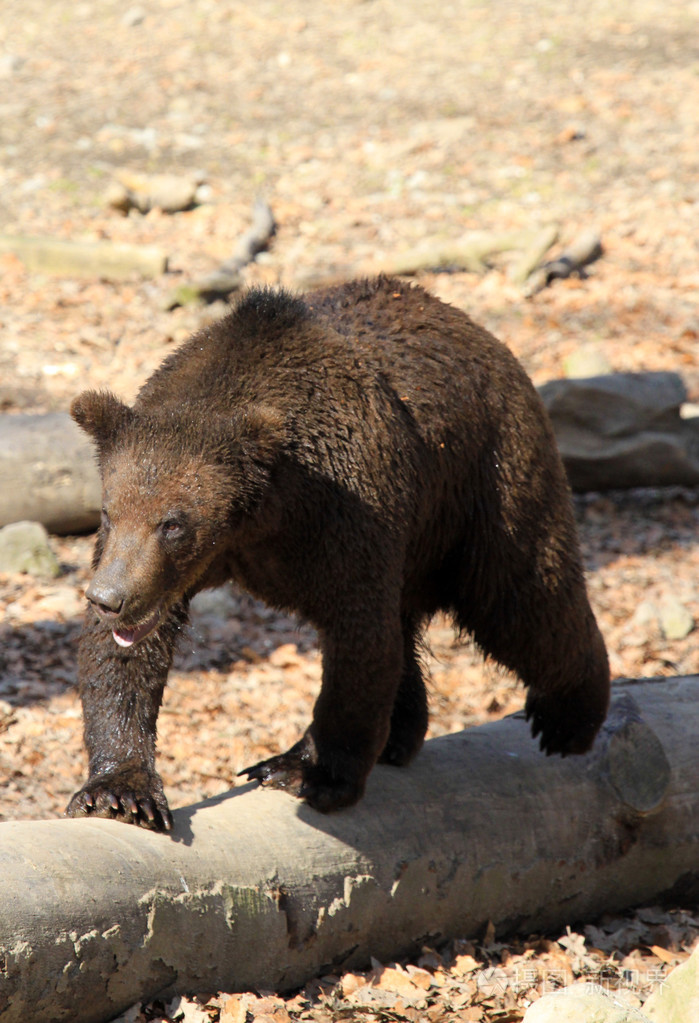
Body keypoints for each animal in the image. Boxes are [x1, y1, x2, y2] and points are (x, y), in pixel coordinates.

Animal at [66, 276, 610, 831]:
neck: (260, 521)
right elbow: (123, 655)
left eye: (173, 524)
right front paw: (120, 791)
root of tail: (483, 334)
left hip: (486, 482)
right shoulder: (168, 571)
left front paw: (312, 772)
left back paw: (568, 719)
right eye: (110, 512)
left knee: (522, 599)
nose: (108, 597)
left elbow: (359, 642)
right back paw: (400, 734)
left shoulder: (346, 518)